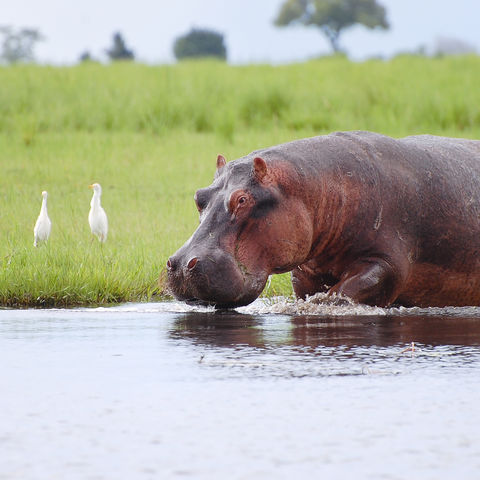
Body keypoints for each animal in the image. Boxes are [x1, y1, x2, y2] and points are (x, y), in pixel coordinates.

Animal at [167, 130, 480, 308]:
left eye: (242, 199)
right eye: (199, 196)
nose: (181, 265)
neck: (321, 187)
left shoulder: (387, 262)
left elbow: (347, 291)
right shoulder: (305, 271)